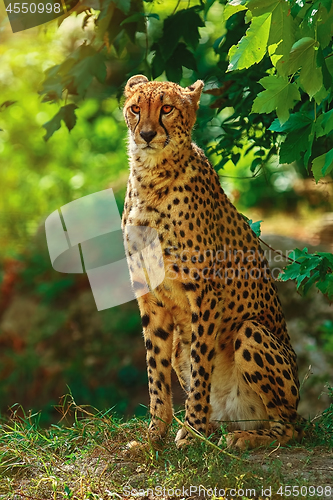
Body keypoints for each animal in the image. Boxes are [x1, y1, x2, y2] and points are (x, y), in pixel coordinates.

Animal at [120, 76, 302, 452]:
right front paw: (153, 437)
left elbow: (201, 364)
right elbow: (155, 371)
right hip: (184, 346)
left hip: (250, 331)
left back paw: (242, 437)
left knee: (288, 428)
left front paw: (191, 431)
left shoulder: (205, 293)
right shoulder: (149, 295)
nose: (146, 134)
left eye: (167, 108)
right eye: (135, 108)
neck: (151, 177)